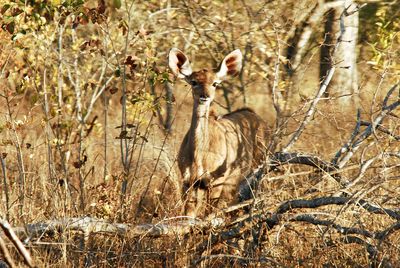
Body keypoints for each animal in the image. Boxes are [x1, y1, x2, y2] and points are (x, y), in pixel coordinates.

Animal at [169, 48, 268, 218]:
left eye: (215, 83)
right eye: (194, 82)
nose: (205, 96)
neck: (199, 156)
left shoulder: (216, 182)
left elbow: (208, 214)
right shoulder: (188, 182)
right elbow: (189, 215)